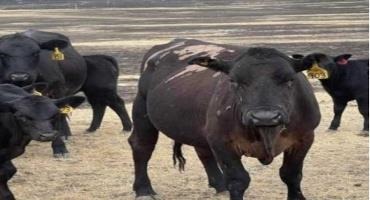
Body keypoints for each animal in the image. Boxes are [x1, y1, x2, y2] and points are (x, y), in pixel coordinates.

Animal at [129, 39, 328, 200]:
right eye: (234, 81)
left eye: (289, 80)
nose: (264, 116)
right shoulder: (222, 142)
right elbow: (238, 180)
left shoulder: (304, 137)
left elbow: (291, 175)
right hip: (141, 110)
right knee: (141, 146)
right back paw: (143, 189)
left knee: (203, 151)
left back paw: (219, 185)